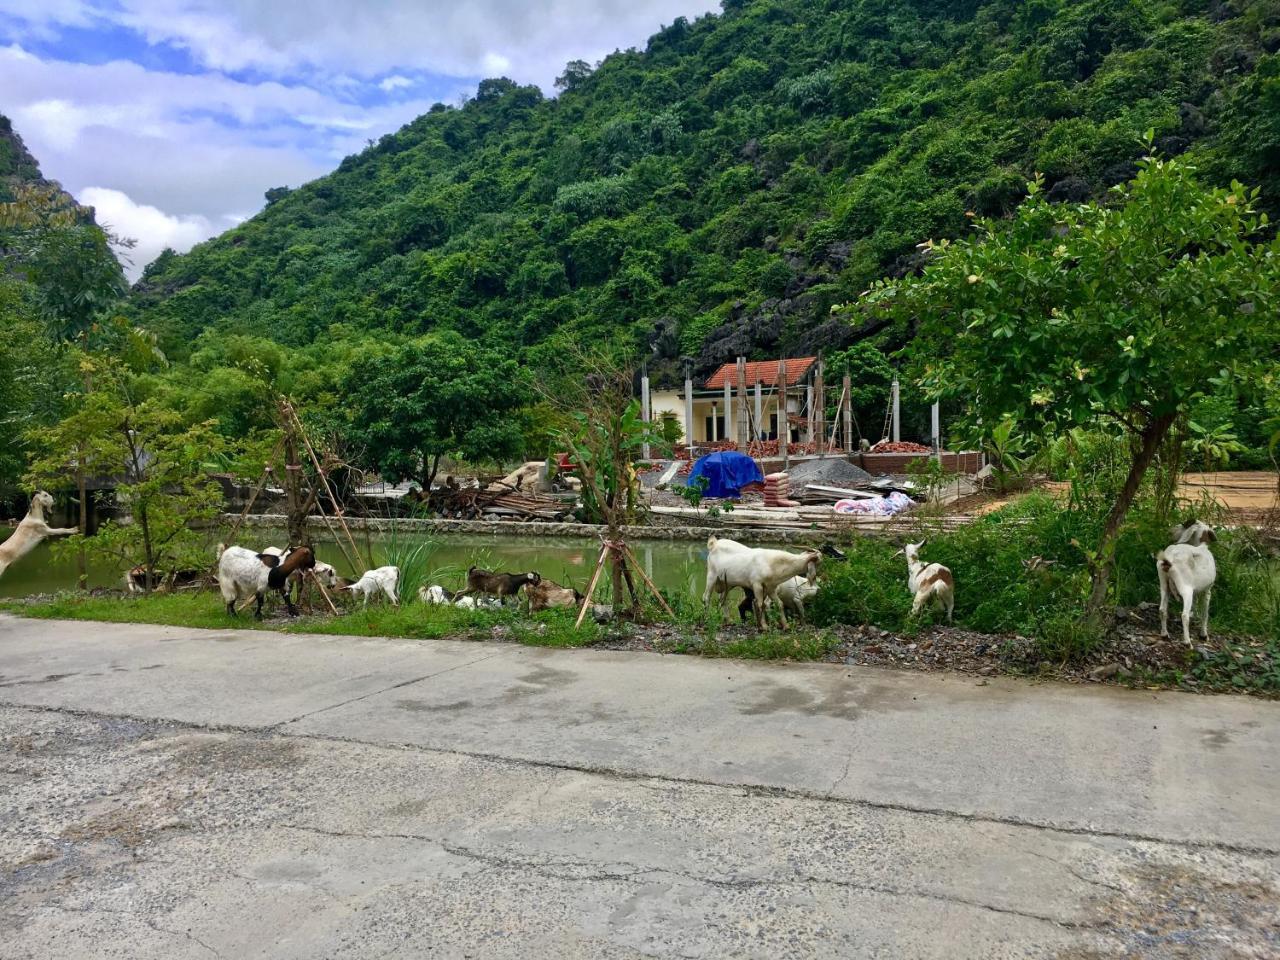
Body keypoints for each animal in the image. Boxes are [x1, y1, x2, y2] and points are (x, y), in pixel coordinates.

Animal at [1157, 522, 1213, 650]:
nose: (1170, 531)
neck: (1202, 546)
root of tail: (1169, 559)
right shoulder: (1207, 590)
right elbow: (1205, 613)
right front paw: (1204, 635)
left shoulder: (1197, 590)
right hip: (1186, 589)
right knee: (1184, 615)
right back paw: (1187, 642)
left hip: (1163, 584)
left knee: (1162, 609)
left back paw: (1164, 634)